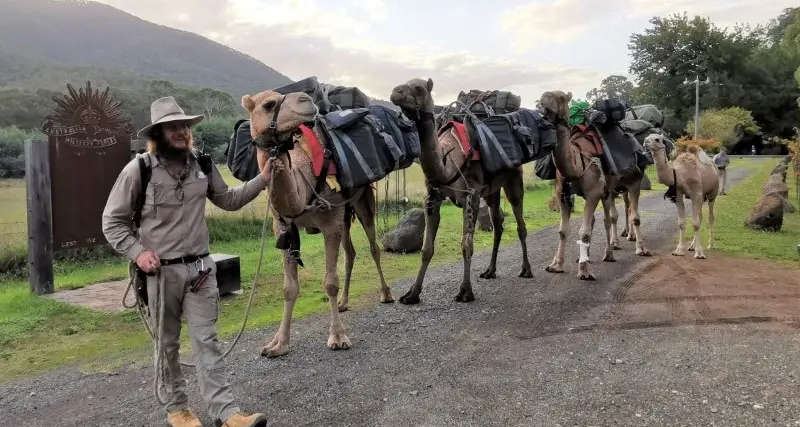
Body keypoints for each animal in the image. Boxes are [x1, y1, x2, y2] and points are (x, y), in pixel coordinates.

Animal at [240, 89, 394, 357]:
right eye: (268, 104)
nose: (305, 99)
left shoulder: (329, 223)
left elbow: (330, 282)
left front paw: (338, 336)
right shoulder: (283, 229)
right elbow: (289, 288)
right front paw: (277, 344)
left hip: (363, 201)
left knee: (373, 247)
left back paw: (385, 294)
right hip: (344, 215)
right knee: (350, 252)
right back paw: (343, 303)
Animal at [389, 77, 533, 304]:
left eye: (419, 88)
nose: (396, 92)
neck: (447, 164)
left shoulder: (470, 196)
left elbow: (467, 245)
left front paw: (465, 291)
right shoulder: (432, 199)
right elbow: (426, 249)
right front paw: (412, 294)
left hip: (514, 181)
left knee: (520, 225)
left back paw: (526, 269)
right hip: (491, 191)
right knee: (497, 225)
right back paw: (490, 271)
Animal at [539, 91, 651, 281]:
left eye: (560, 97)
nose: (543, 100)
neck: (576, 162)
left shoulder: (593, 192)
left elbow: (584, 231)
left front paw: (584, 271)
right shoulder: (563, 194)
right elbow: (563, 231)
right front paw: (557, 265)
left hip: (633, 181)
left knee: (632, 214)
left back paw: (639, 248)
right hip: (609, 190)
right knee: (608, 218)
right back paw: (606, 251)